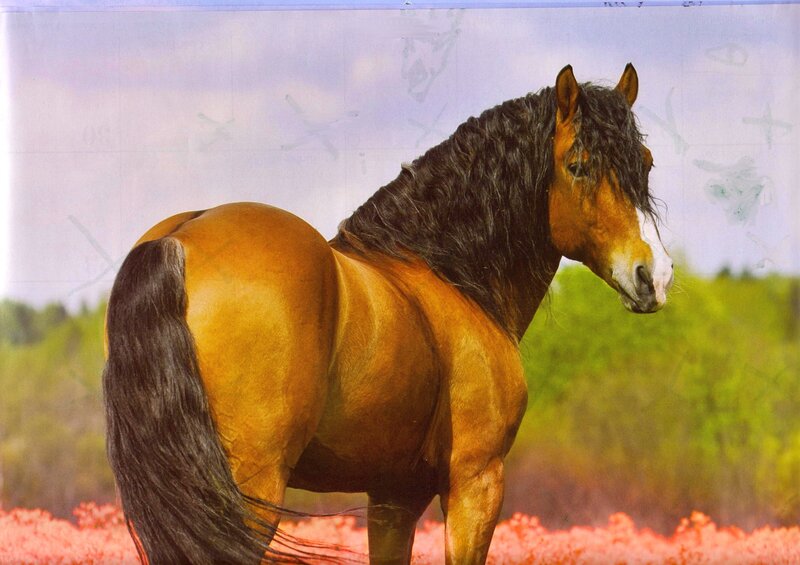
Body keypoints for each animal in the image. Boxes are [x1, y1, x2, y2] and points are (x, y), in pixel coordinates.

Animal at [103, 64, 673, 564]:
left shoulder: (392, 497)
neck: (448, 271)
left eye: (645, 162)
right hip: (250, 487)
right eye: (577, 165)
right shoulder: (476, 483)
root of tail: (179, 240)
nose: (655, 276)